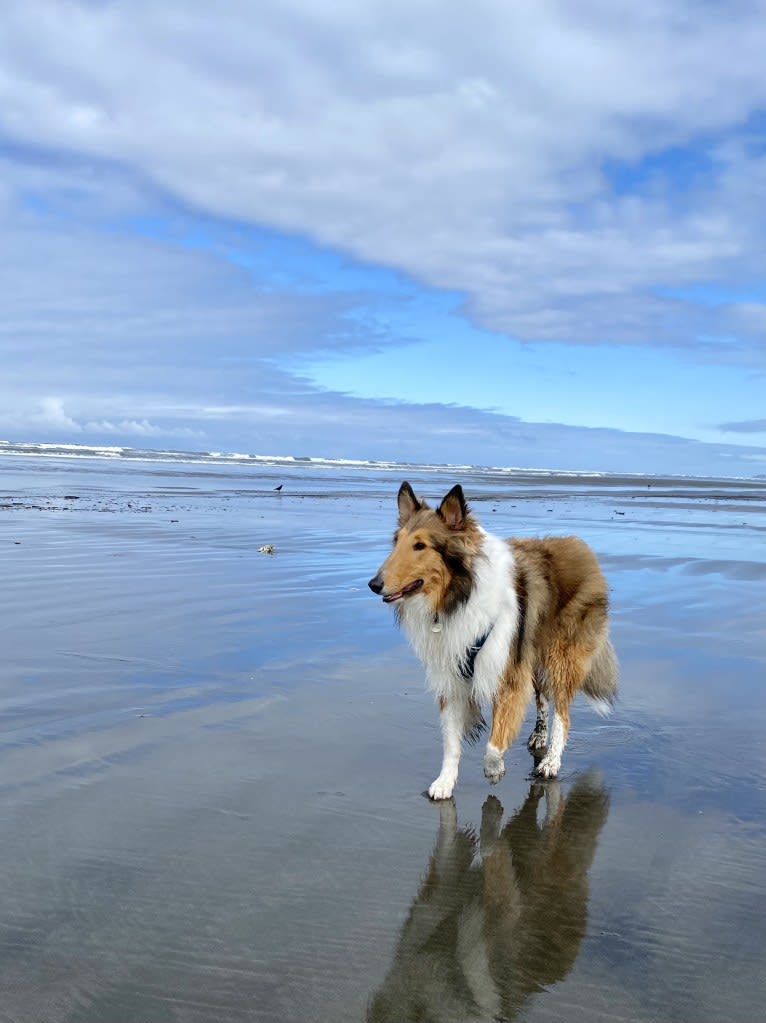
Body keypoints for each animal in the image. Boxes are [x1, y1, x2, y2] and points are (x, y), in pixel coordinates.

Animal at [366, 480, 613, 797]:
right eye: (396, 541)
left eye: (420, 545)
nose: (374, 584)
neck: (458, 596)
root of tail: (578, 544)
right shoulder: (452, 676)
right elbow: (451, 741)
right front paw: (445, 782)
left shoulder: (505, 672)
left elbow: (494, 744)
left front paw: (494, 770)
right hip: (531, 652)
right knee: (543, 698)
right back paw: (538, 736)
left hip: (560, 656)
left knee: (563, 713)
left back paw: (550, 763)